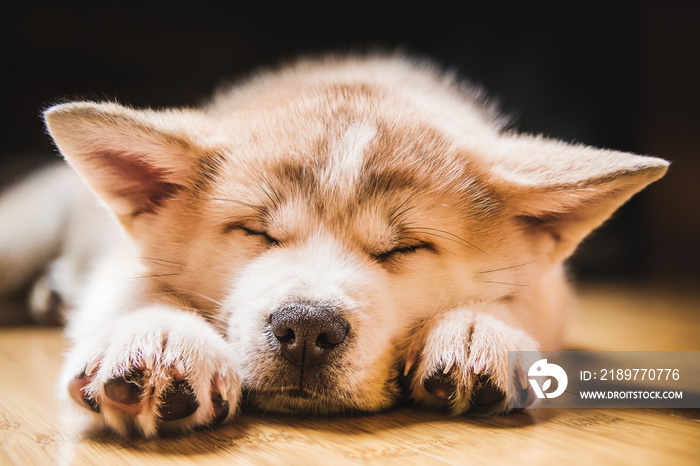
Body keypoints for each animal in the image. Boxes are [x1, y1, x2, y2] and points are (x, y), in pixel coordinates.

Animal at [0, 54, 668, 436]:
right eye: (258, 232)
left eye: (403, 249)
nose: (305, 328)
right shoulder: (120, 259)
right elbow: (136, 288)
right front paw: (161, 337)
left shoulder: (552, 287)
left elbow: (522, 300)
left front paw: (477, 330)